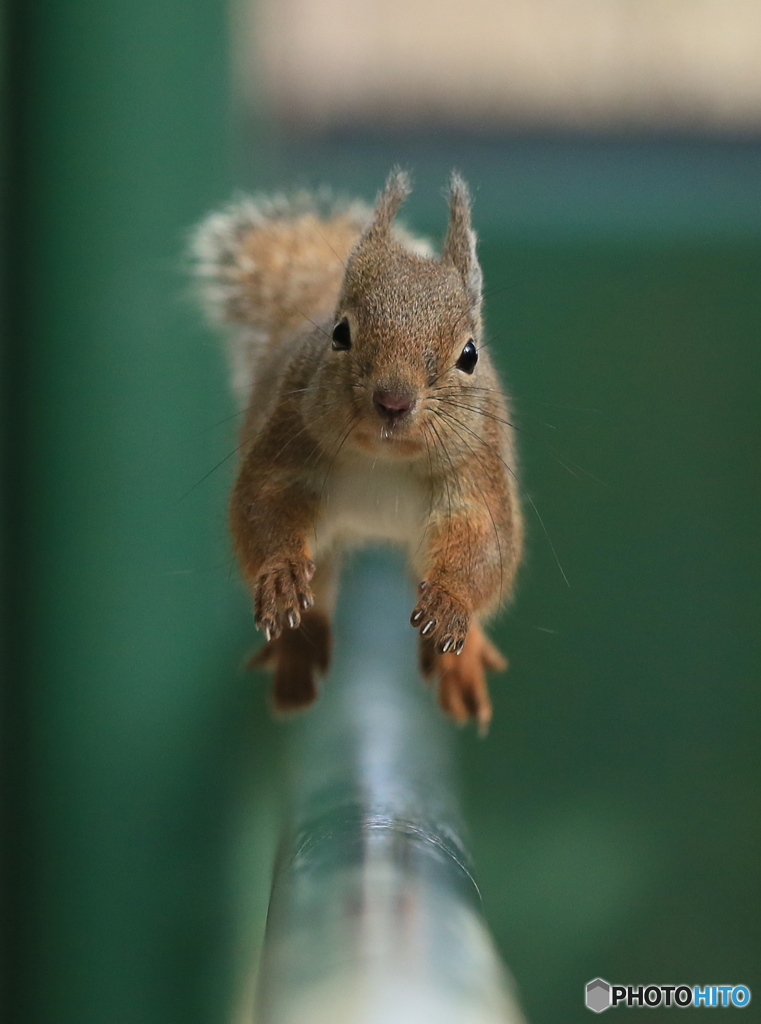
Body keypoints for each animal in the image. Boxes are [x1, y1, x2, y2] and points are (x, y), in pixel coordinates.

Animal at [191, 169, 524, 729]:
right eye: (340, 334)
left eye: (470, 354)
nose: (393, 401)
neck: (384, 460)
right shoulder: (287, 447)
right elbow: (264, 508)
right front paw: (280, 571)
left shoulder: (475, 475)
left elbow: (480, 542)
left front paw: (451, 603)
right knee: (319, 590)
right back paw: (296, 653)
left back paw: (459, 662)